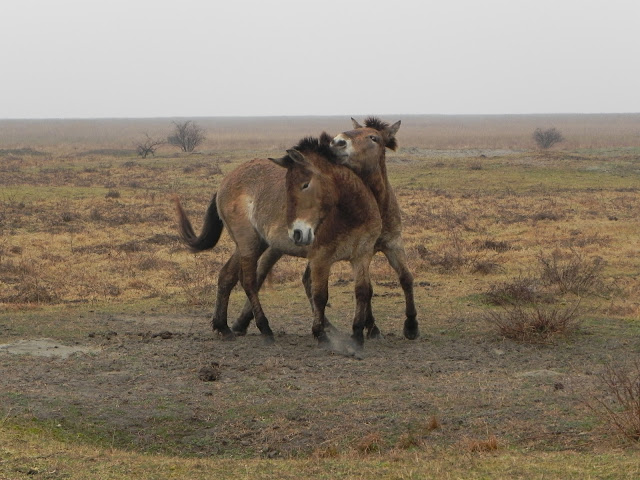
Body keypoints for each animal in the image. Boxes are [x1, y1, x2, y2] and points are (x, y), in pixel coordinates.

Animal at [175, 133, 381, 345]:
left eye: (305, 185)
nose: (297, 233)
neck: (352, 215)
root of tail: (225, 182)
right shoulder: (321, 259)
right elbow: (320, 295)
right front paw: (320, 334)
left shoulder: (362, 256)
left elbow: (363, 291)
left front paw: (357, 335)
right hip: (248, 243)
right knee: (249, 281)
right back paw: (264, 328)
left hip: (254, 244)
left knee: (226, 276)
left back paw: (222, 327)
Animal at [330, 117, 419, 340]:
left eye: (373, 137)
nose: (338, 142)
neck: (378, 206)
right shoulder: (364, 251)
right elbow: (367, 288)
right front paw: (371, 327)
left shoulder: (394, 243)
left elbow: (406, 278)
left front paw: (411, 325)